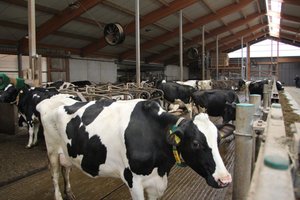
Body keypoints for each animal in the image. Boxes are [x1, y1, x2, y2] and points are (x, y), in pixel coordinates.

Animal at [37, 95, 233, 200]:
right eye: (195, 143)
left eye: (218, 140)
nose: (225, 180)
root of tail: (50, 99)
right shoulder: (134, 181)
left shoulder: (156, 182)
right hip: (52, 150)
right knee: (55, 175)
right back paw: (59, 195)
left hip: (67, 151)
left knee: (66, 170)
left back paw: (69, 192)